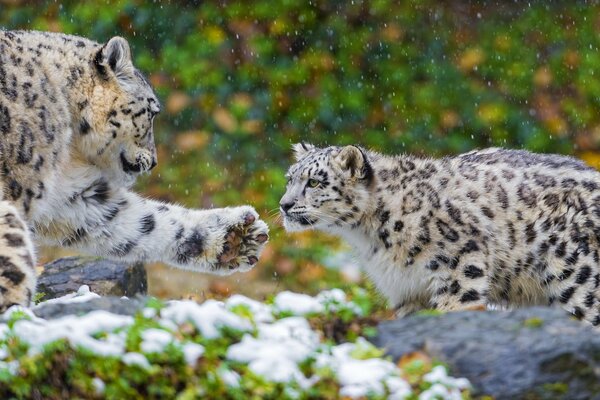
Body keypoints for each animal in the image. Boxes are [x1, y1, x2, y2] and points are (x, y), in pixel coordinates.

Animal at [280, 143, 600, 324]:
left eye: (314, 182)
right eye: (289, 179)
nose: (284, 204)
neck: (369, 237)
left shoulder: (460, 268)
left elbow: (453, 309)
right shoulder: (406, 290)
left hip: (579, 281)